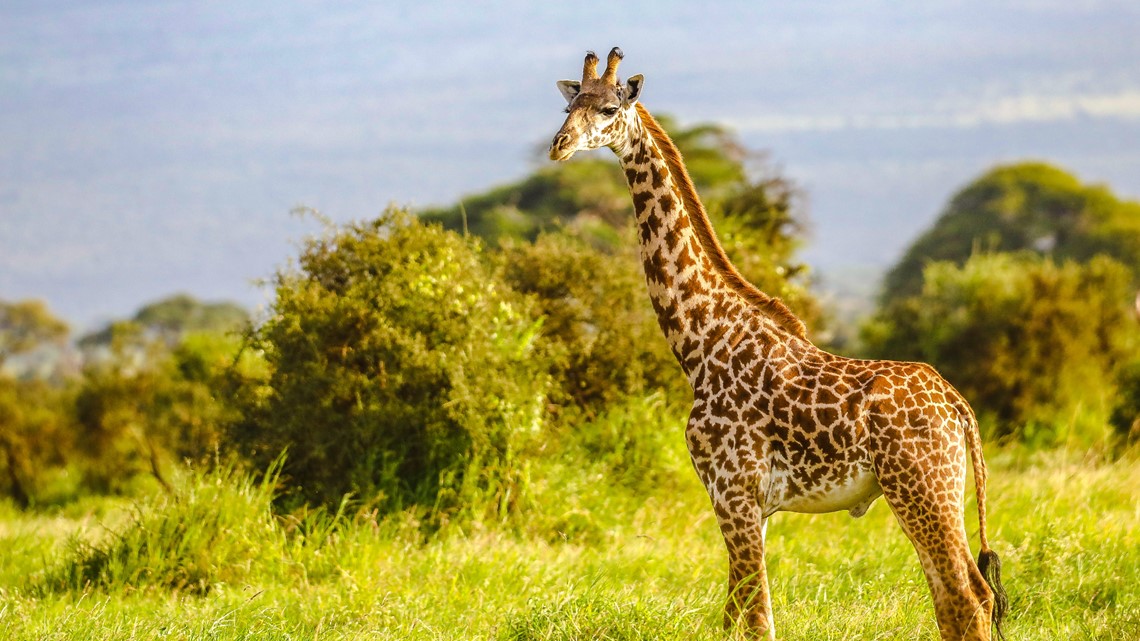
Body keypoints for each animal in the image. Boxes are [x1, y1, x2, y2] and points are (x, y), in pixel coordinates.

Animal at [548, 48, 1008, 641]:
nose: (558, 145)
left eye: (608, 108)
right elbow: (734, 616)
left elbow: (758, 618)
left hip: (921, 489)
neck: (701, 342)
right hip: (930, 493)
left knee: (967, 598)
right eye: (567, 105)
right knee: (958, 598)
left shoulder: (734, 492)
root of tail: (959, 407)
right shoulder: (747, 505)